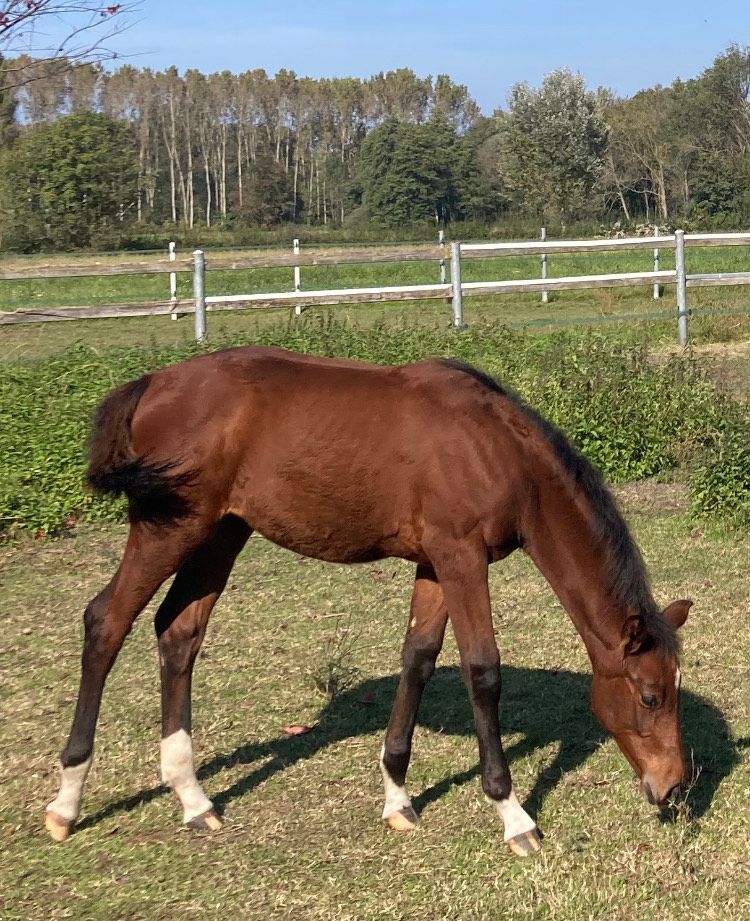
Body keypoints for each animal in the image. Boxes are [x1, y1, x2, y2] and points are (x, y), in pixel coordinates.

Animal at [45, 346, 692, 857]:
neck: (498, 452)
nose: (674, 786)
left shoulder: (435, 563)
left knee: (178, 632)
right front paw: (513, 816)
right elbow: (483, 671)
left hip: (222, 532)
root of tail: (151, 382)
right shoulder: (461, 559)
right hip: (170, 529)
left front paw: (398, 798)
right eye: (651, 697)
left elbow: (420, 658)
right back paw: (67, 802)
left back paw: (193, 799)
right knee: (107, 621)